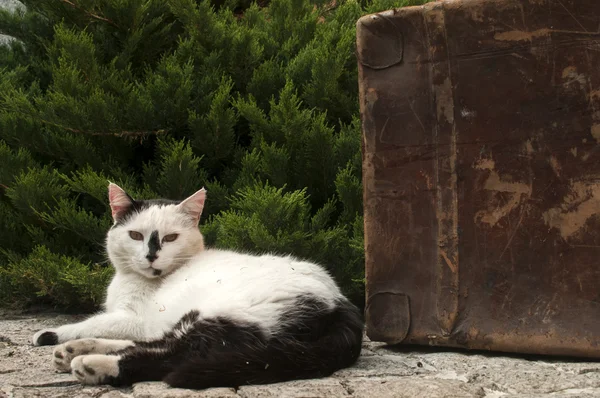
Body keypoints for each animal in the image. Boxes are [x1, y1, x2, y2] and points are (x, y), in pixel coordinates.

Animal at [32, 183, 364, 388]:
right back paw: (75, 352)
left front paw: (51, 333)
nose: (151, 255)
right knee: (157, 344)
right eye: (136, 236)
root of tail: (342, 303)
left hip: (220, 316)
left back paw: (92, 363)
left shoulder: (135, 318)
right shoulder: (140, 322)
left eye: (170, 238)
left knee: (173, 356)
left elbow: (92, 322)